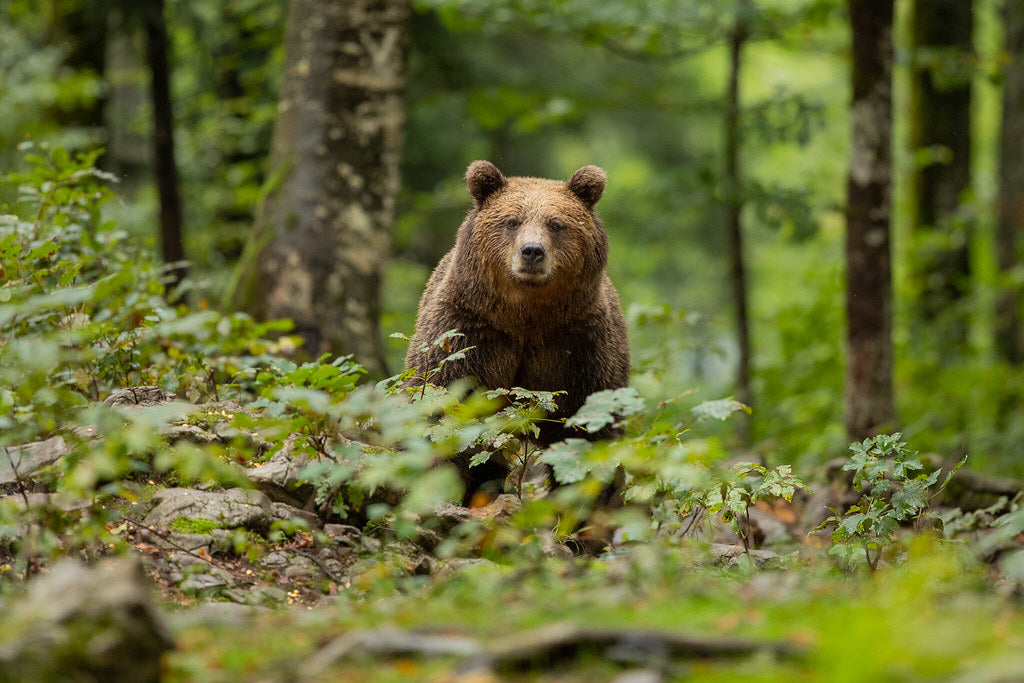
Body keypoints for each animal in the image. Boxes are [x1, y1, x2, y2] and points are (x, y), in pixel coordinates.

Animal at [403, 159, 626, 499]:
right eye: (512, 221)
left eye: (556, 224)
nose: (532, 251)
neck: (524, 317)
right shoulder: (466, 331)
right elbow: (445, 408)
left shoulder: (580, 343)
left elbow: (590, 423)